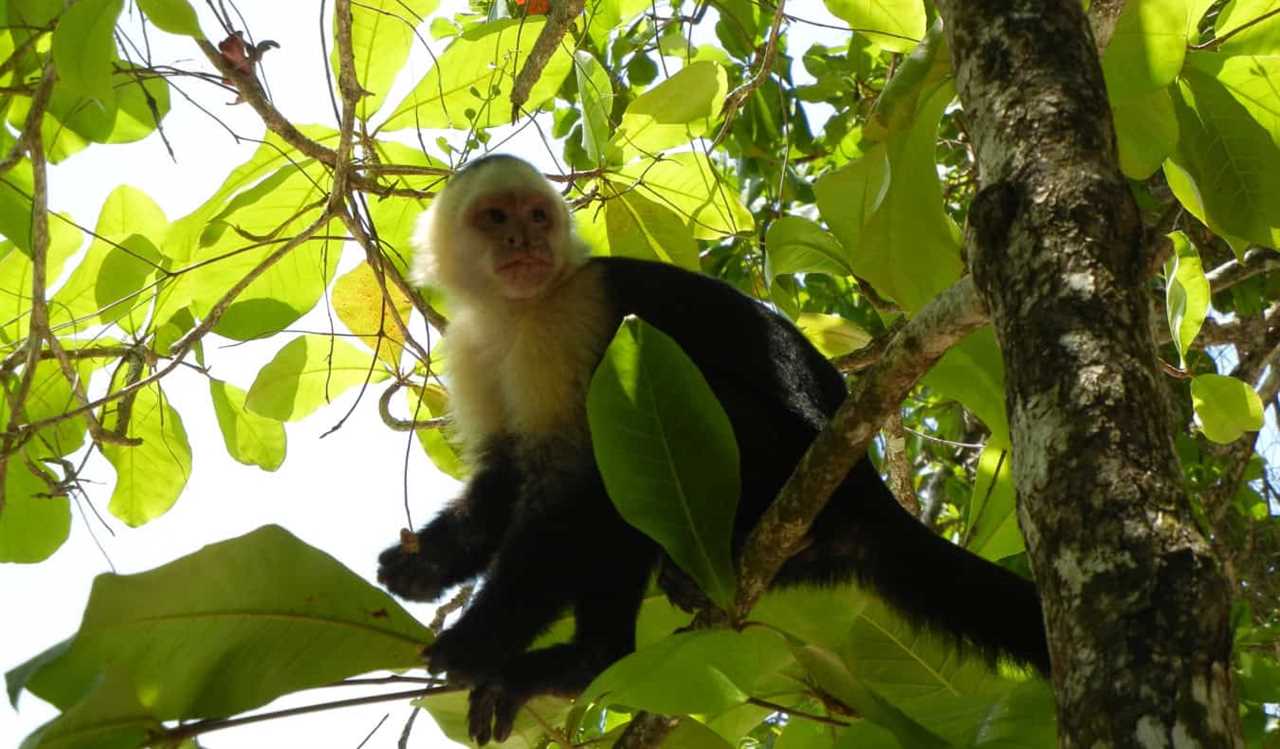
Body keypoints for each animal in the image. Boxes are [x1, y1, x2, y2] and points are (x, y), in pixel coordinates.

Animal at [376, 154, 1049, 742]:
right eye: (494, 217)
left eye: (537, 216)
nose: (523, 241)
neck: (517, 311)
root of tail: (870, 492)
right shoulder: (472, 347)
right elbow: (504, 477)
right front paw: (425, 564)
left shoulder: (569, 321)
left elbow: (570, 491)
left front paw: (476, 641)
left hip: (781, 464)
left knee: (627, 476)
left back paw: (592, 658)